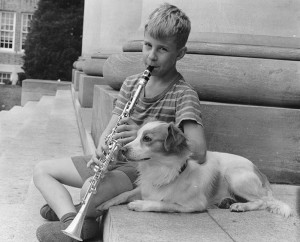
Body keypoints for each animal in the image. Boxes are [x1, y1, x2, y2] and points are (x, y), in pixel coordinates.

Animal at [99, 120, 292, 216]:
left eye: (147, 139)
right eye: (136, 136)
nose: (122, 150)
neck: (163, 170)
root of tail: (261, 173)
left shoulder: (193, 205)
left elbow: (163, 203)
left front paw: (140, 204)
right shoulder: (145, 187)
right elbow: (124, 194)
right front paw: (104, 203)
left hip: (235, 176)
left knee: (262, 201)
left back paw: (240, 206)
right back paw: (228, 201)